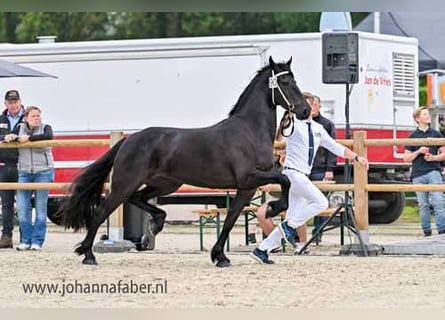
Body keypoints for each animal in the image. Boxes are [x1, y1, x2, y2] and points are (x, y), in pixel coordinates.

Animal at [56, 56, 308, 266]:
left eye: (294, 80)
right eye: (284, 82)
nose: (305, 110)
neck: (249, 132)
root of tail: (129, 140)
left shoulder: (247, 187)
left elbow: (231, 219)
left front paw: (220, 256)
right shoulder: (249, 178)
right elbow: (285, 180)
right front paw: (274, 209)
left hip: (165, 184)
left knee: (138, 198)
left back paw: (156, 223)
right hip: (124, 184)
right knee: (101, 212)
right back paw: (88, 254)